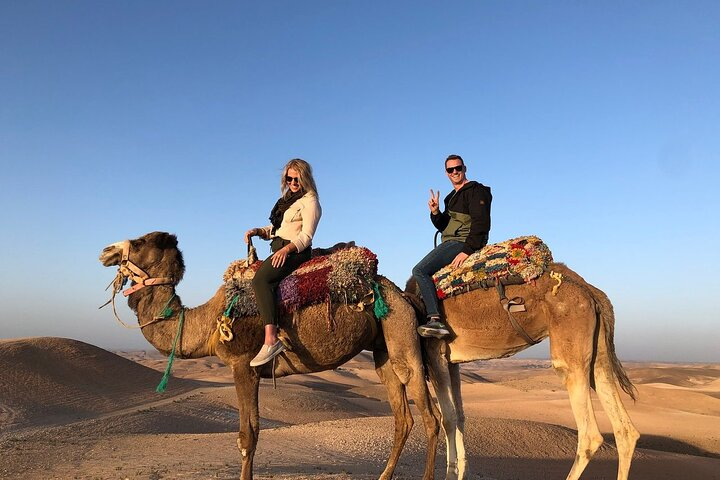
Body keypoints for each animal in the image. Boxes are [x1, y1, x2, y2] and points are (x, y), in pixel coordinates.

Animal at [99, 231, 439, 480]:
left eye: (139, 242)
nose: (105, 251)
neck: (208, 322)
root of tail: (403, 295)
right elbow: (253, 431)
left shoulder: (242, 365)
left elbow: (247, 435)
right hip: (383, 351)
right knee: (402, 416)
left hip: (401, 331)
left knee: (430, 416)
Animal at [405, 263, 640, 480]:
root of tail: (591, 290)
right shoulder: (452, 361)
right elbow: (460, 416)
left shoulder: (435, 354)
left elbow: (448, 419)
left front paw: (450, 473)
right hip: (598, 351)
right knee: (624, 429)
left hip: (570, 338)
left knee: (590, 434)